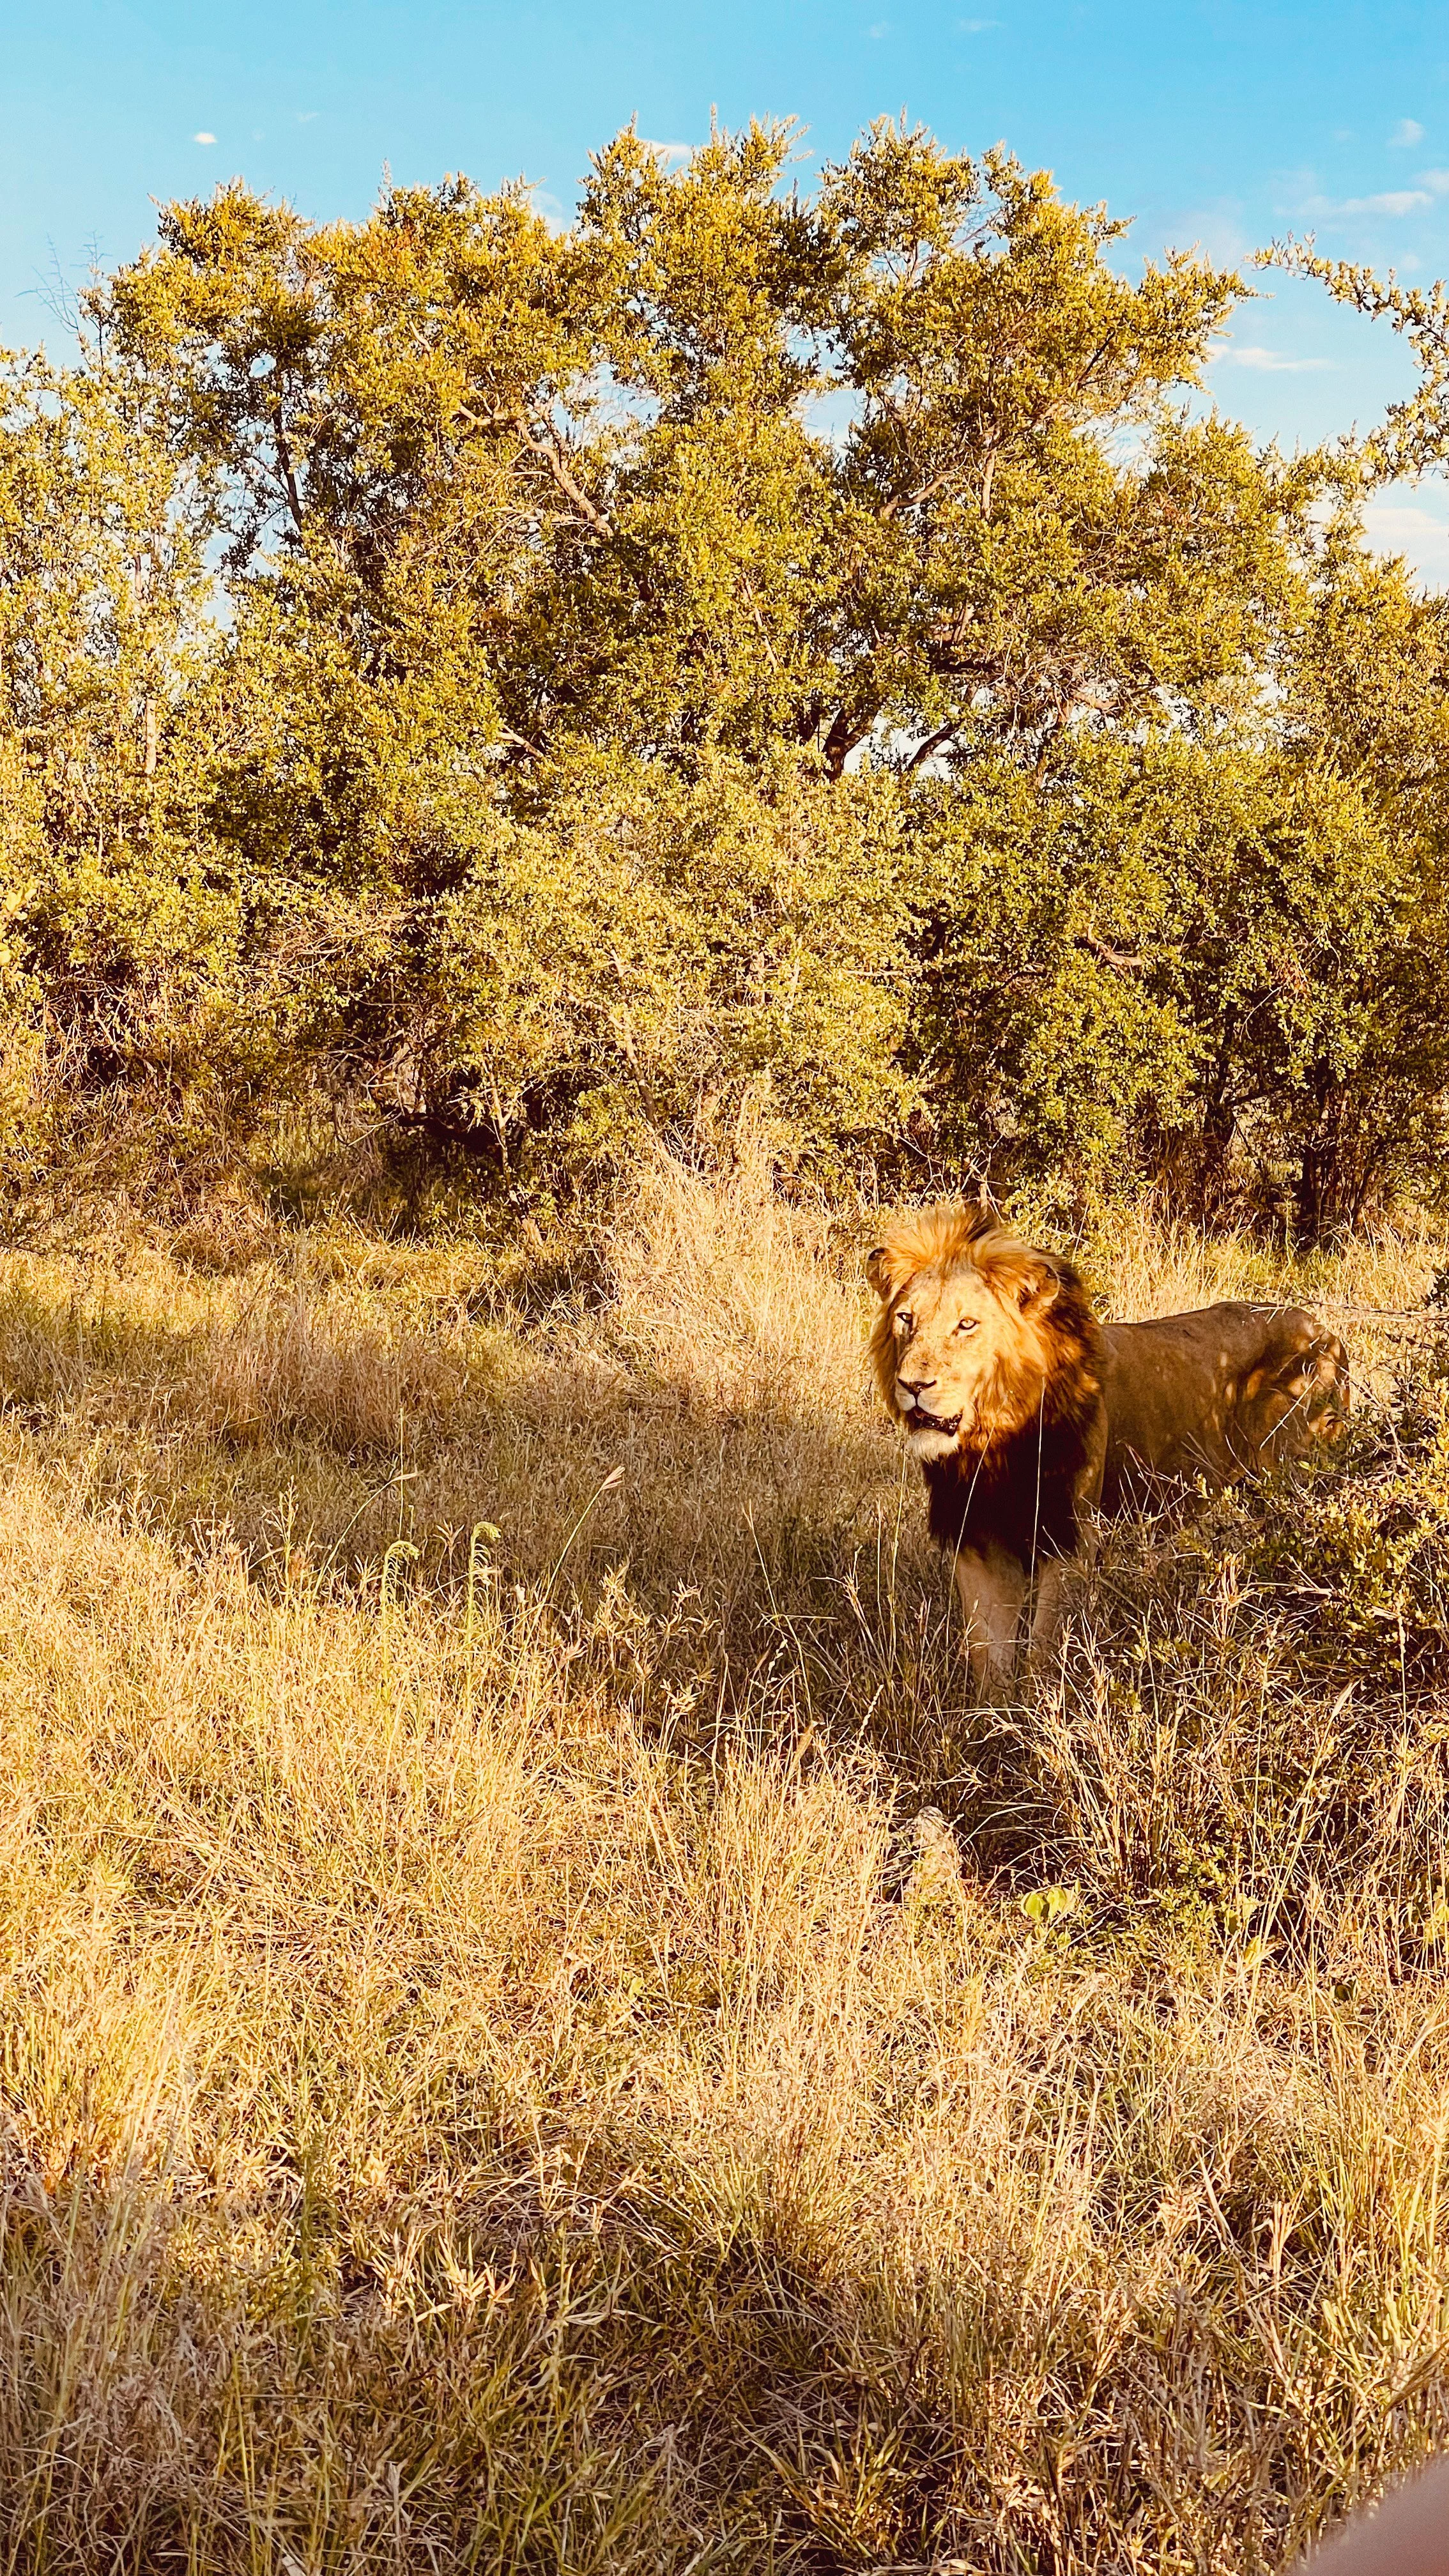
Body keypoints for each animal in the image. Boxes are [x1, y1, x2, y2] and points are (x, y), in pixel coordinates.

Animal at [866, 1203, 1348, 1690]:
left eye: (967, 1325)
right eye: (906, 1319)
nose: (913, 1385)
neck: (993, 1445)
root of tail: (1325, 1332)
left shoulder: (1069, 1535)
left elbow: (1044, 1646)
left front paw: (1040, 1704)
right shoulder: (979, 1539)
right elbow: (989, 1655)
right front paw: (994, 1708)